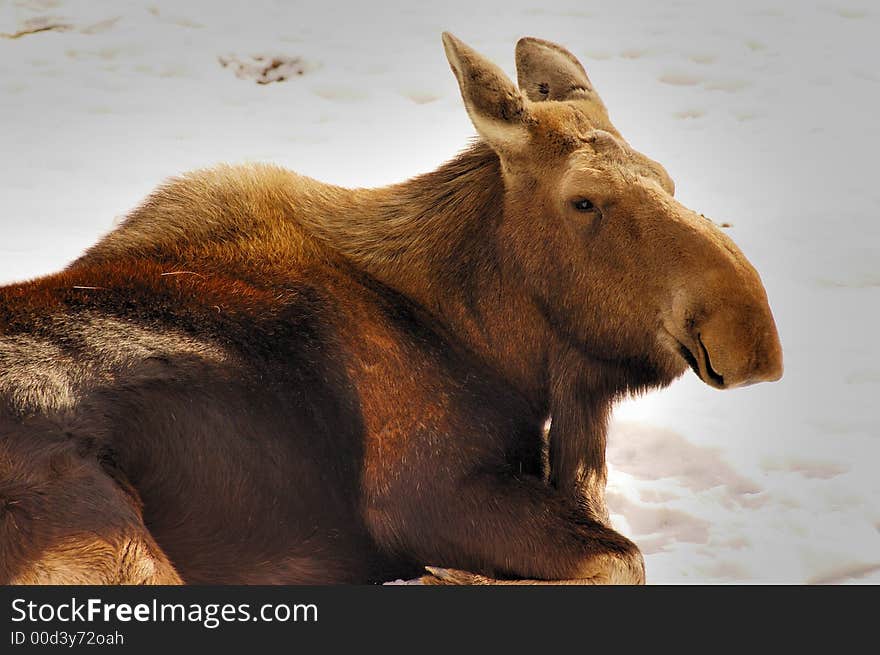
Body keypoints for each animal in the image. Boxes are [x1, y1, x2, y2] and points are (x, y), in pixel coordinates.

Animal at [1, 33, 784, 584]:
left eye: (667, 178)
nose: (751, 339)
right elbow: (622, 559)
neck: (496, 346)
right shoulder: (420, 491)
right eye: (584, 200)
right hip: (111, 535)